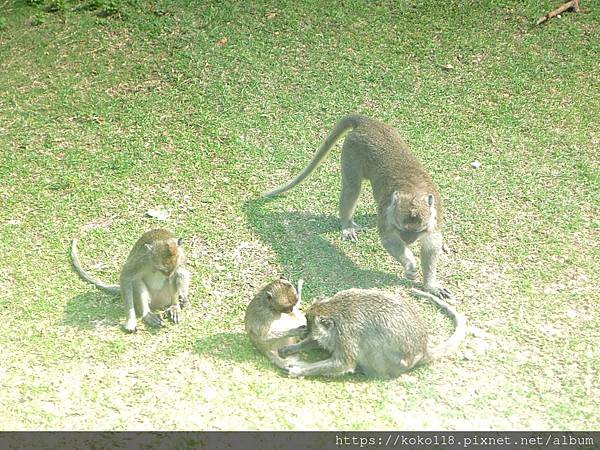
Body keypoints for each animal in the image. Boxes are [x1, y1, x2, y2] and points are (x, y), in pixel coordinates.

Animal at [264, 115, 452, 298]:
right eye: (401, 228)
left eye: (418, 231)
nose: (408, 241)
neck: (412, 191)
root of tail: (367, 122)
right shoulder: (387, 213)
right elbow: (389, 238)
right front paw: (410, 264)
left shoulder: (434, 215)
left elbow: (431, 244)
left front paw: (430, 285)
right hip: (351, 148)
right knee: (352, 187)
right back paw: (346, 224)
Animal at [278, 286, 466, 378]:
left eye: (310, 325)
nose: (305, 331)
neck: (335, 310)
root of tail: (423, 349)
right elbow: (322, 342)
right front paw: (292, 348)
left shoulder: (347, 335)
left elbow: (343, 363)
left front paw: (300, 371)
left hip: (396, 361)